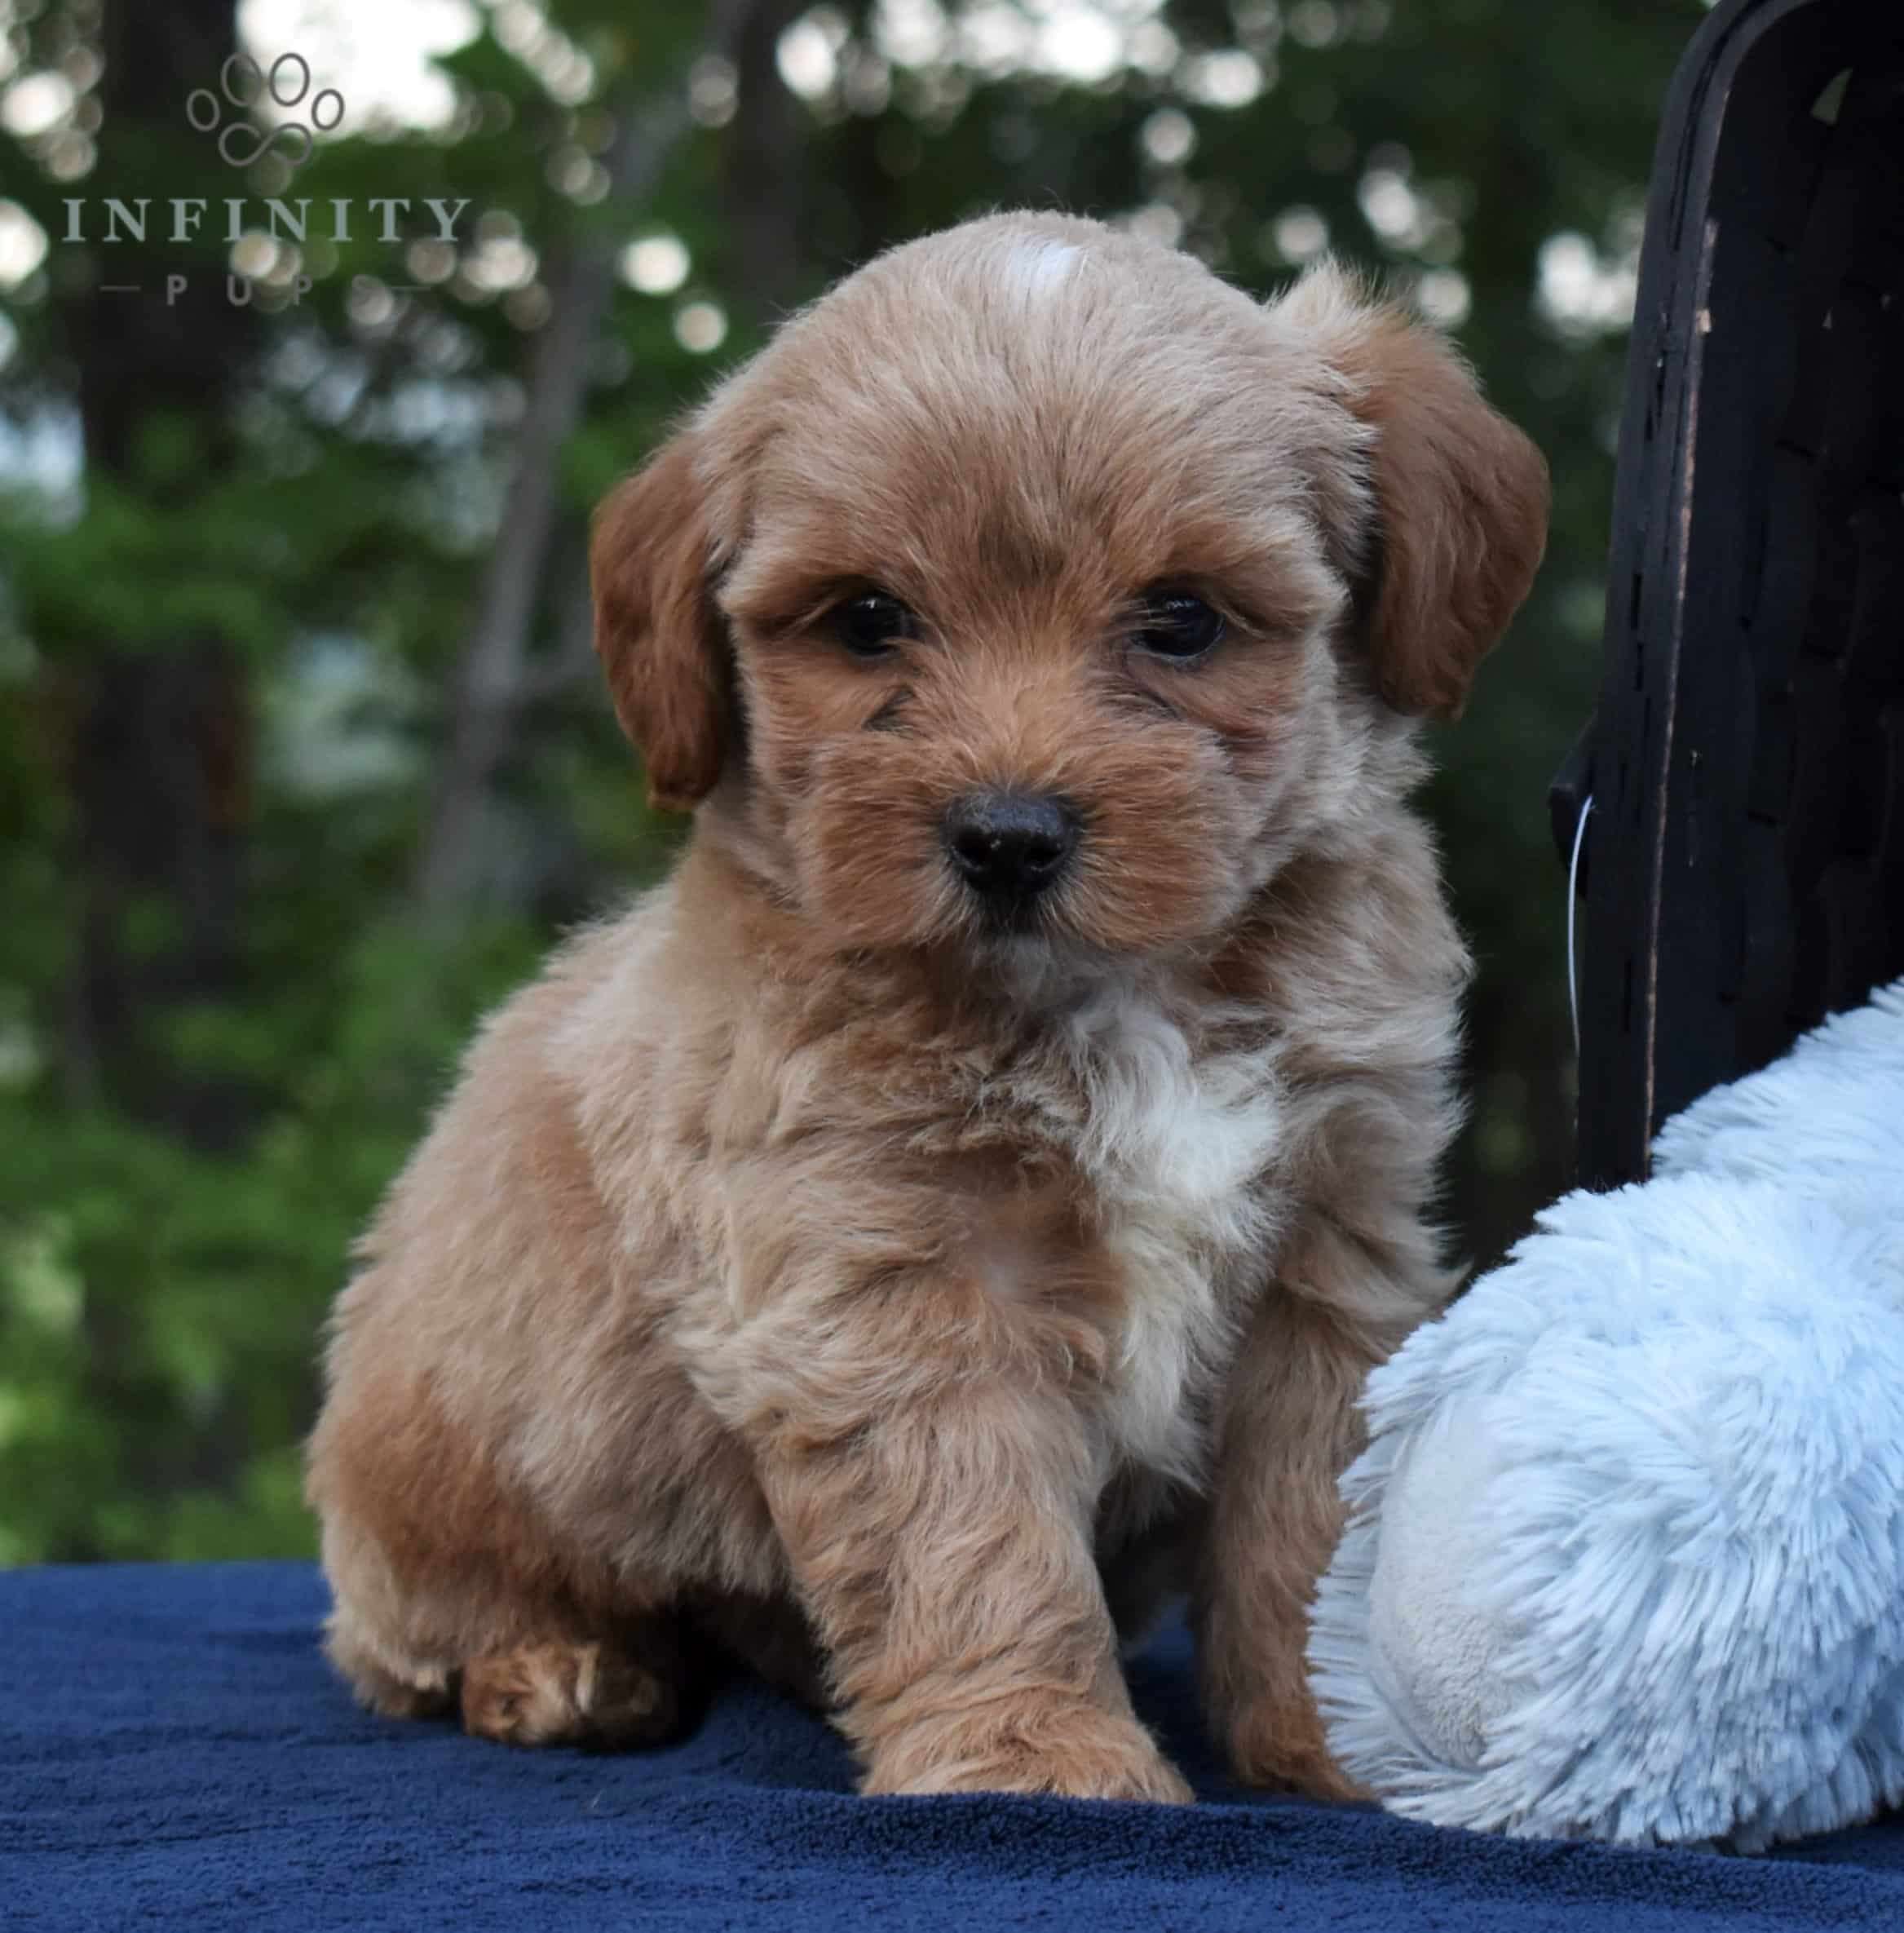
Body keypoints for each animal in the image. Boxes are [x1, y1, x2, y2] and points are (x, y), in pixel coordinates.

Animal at [301, 211, 1546, 1794]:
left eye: (1182, 620)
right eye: (868, 621)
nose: (1006, 835)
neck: (1121, 999)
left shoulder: (1330, 1254)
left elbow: (1312, 1526)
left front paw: (1335, 1743)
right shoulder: (883, 1281)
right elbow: (969, 1525)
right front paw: (1032, 1753)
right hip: (437, 1463)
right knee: (412, 1635)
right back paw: (558, 1668)